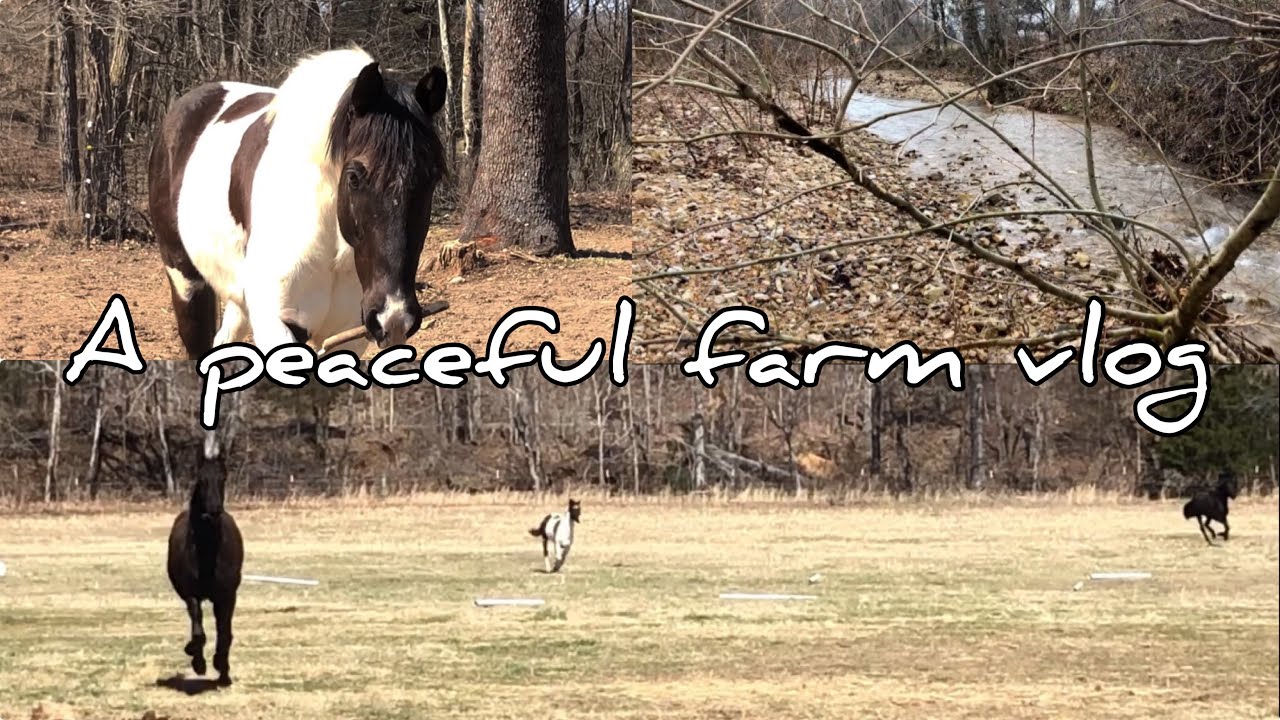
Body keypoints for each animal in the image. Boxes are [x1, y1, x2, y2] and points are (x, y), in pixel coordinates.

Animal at [148, 47, 448, 357]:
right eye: (354, 177)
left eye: (433, 177)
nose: (395, 315)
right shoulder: (278, 324)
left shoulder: (349, 334)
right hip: (186, 282)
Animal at [167, 436, 244, 685]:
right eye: (201, 479)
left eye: (223, 477)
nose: (213, 512)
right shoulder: (192, 595)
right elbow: (199, 631)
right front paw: (197, 660)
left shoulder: (227, 595)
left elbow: (225, 632)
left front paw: (222, 666)